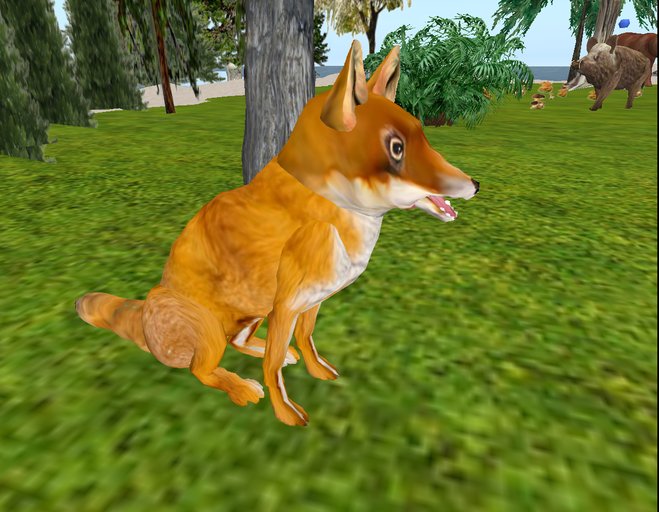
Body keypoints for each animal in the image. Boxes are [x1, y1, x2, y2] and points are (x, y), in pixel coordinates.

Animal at [76, 41, 480, 426]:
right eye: (397, 148)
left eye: (424, 138)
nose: (476, 185)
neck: (335, 215)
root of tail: (146, 311)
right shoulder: (286, 305)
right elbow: (271, 370)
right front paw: (285, 413)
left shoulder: (312, 300)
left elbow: (306, 341)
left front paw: (317, 369)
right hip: (210, 330)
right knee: (202, 370)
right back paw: (240, 387)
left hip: (251, 313)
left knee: (241, 343)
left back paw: (276, 356)